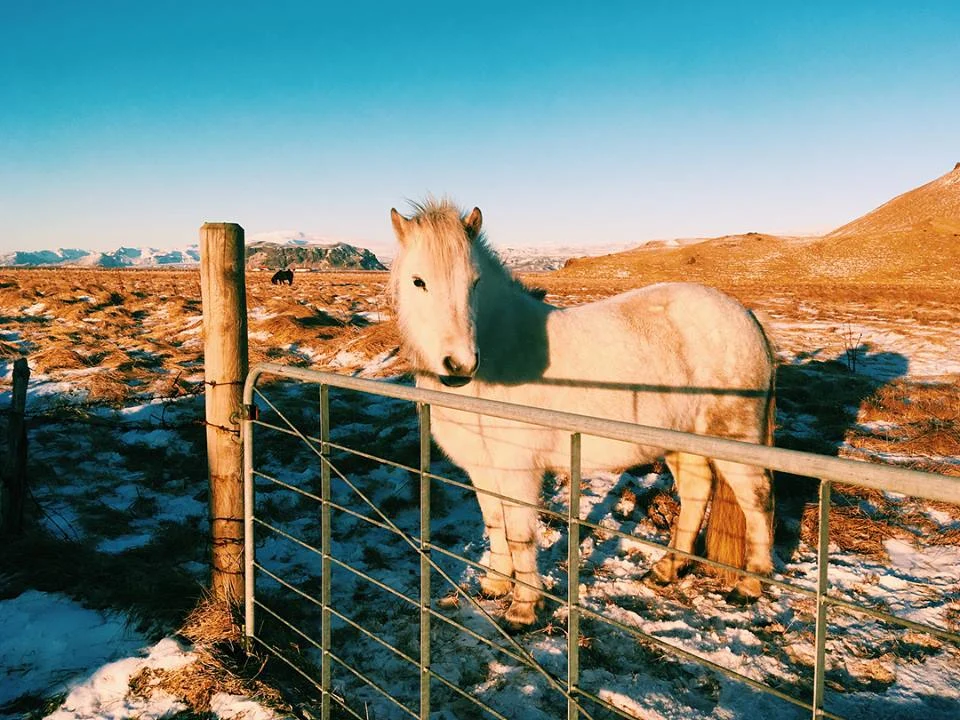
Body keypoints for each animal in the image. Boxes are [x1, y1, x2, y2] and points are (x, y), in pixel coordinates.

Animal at [388, 199, 776, 628]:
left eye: (475, 282)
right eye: (418, 281)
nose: (459, 365)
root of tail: (747, 316)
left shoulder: (518, 469)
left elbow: (520, 534)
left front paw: (523, 608)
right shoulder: (482, 468)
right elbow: (495, 524)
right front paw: (494, 584)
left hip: (734, 437)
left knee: (757, 500)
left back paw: (749, 586)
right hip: (682, 441)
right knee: (696, 491)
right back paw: (666, 569)